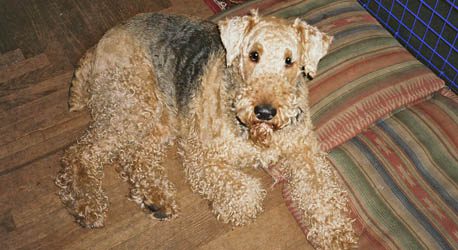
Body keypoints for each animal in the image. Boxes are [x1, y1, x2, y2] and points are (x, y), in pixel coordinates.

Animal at [55, 10, 358, 249]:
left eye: (289, 60)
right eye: (254, 55)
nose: (264, 112)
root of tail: (101, 40)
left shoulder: (306, 153)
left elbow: (321, 193)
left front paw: (337, 235)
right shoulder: (200, 152)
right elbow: (246, 191)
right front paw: (234, 209)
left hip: (160, 115)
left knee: (136, 155)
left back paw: (157, 199)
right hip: (134, 104)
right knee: (81, 152)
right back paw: (88, 206)